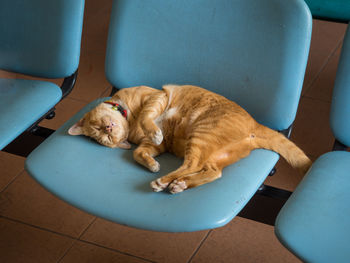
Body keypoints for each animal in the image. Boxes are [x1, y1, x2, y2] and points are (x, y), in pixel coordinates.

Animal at [69, 84, 312, 194]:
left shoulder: (156, 98)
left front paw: (152, 133)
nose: (108, 128)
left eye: (99, 128)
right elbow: (139, 153)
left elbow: (148, 119)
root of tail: (254, 124)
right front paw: (152, 165)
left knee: (192, 164)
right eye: (103, 136)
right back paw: (178, 184)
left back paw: (164, 182)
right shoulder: (156, 146)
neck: (131, 121)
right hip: (209, 149)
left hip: (201, 133)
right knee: (211, 171)